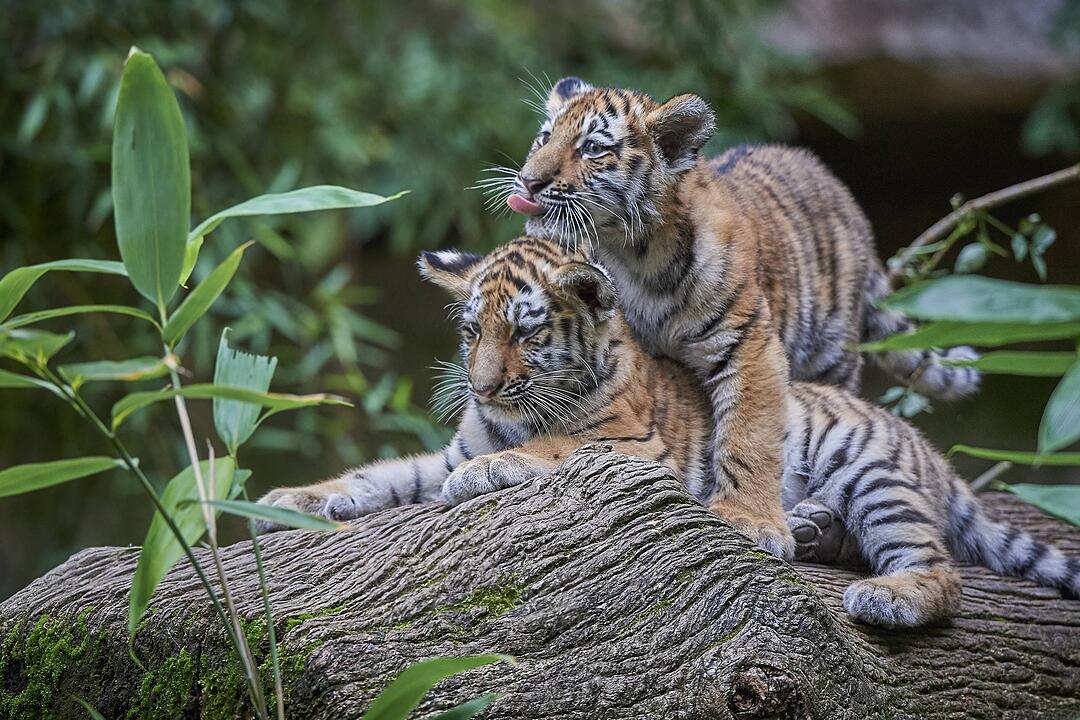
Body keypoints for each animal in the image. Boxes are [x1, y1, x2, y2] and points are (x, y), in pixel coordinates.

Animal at [256, 237, 1079, 628]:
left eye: (525, 332)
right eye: (471, 332)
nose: (483, 388)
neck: (503, 417)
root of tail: (927, 450)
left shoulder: (631, 447)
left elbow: (548, 447)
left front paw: (490, 473)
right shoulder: (447, 448)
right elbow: (382, 475)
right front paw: (289, 500)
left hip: (867, 467)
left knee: (940, 569)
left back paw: (888, 597)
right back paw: (808, 527)